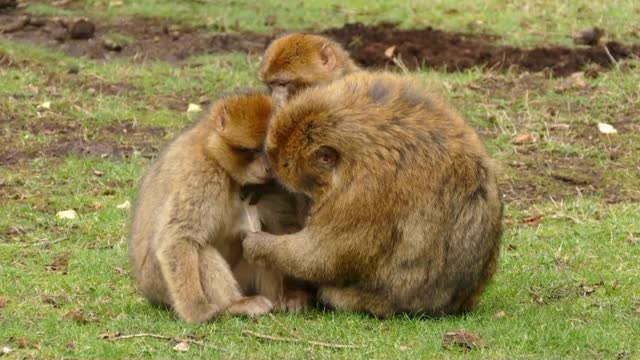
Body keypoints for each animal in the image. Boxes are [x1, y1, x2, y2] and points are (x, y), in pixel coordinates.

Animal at [129, 93, 294, 324]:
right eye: (251, 150)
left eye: (269, 151)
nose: (269, 168)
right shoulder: (201, 175)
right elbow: (177, 239)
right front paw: (196, 310)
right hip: (159, 284)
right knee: (200, 249)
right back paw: (236, 304)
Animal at [241, 72, 504, 318]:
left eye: (286, 167)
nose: (307, 208)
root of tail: (457, 304)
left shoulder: (363, 192)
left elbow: (325, 255)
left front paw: (260, 245)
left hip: (381, 300)